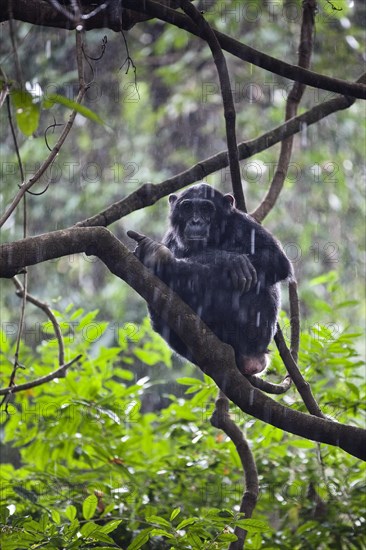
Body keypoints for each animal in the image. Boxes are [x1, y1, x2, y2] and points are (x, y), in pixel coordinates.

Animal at [127, 183, 294, 378]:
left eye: (206, 208)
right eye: (187, 207)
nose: (196, 221)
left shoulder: (245, 223)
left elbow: (274, 258)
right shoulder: (169, 239)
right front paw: (228, 260)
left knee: (256, 283)